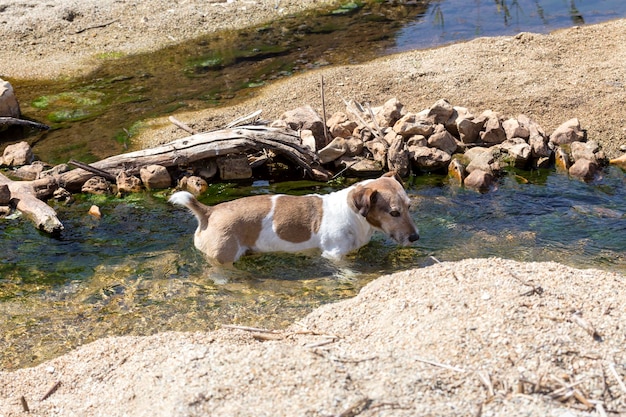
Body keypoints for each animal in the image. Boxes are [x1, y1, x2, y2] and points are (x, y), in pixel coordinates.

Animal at [168, 171, 416, 264]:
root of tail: (209, 212)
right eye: (394, 212)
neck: (352, 213)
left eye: (409, 206)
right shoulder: (334, 255)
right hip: (223, 257)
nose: (416, 238)